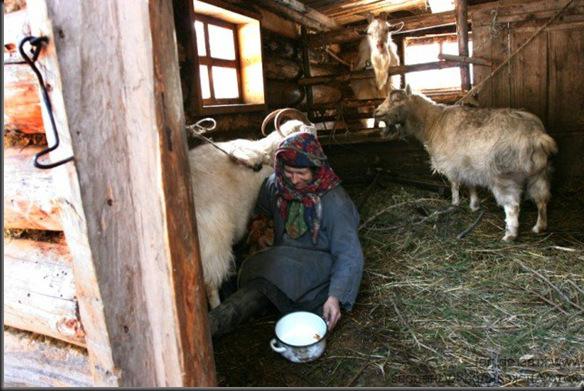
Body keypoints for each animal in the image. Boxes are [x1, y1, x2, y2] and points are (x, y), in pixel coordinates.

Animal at [376, 87, 560, 242]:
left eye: (397, 100)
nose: (376, 112)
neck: (433, 122)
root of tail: (536, 136)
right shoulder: (467, 166)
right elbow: (471, 185)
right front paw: (474, 205)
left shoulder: (452, 165)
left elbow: (454, 185)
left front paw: (454, 203)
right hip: (540, 173)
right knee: (542, 199)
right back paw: (539, 227)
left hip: (504, 176)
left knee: (513, 206)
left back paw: (510, 234)